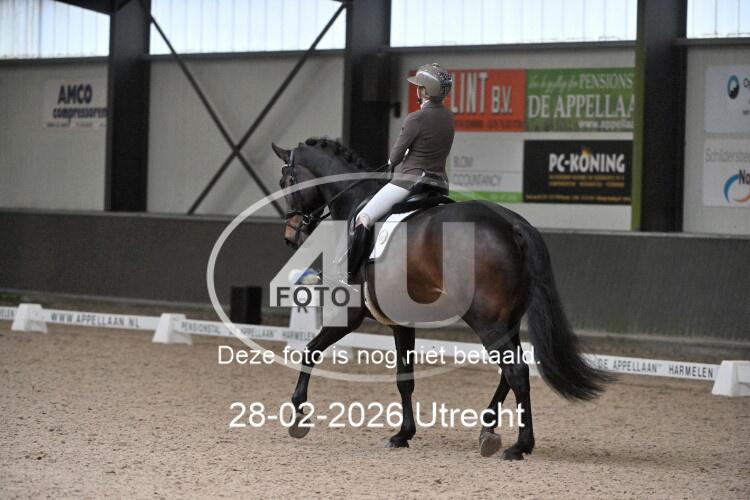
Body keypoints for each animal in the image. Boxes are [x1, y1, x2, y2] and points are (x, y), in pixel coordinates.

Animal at [271, 138, 610, 460]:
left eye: (286, 181)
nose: (290, 235)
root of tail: (511, 223)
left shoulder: (352, 313)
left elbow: (310, 351)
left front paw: (298, 417)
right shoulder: (401, 321)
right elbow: (404, 377)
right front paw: (403, 434)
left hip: (487, 321)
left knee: (515, 371)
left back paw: (519, 446)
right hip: (507, 320)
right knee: (510, 372)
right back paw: (488, 431)